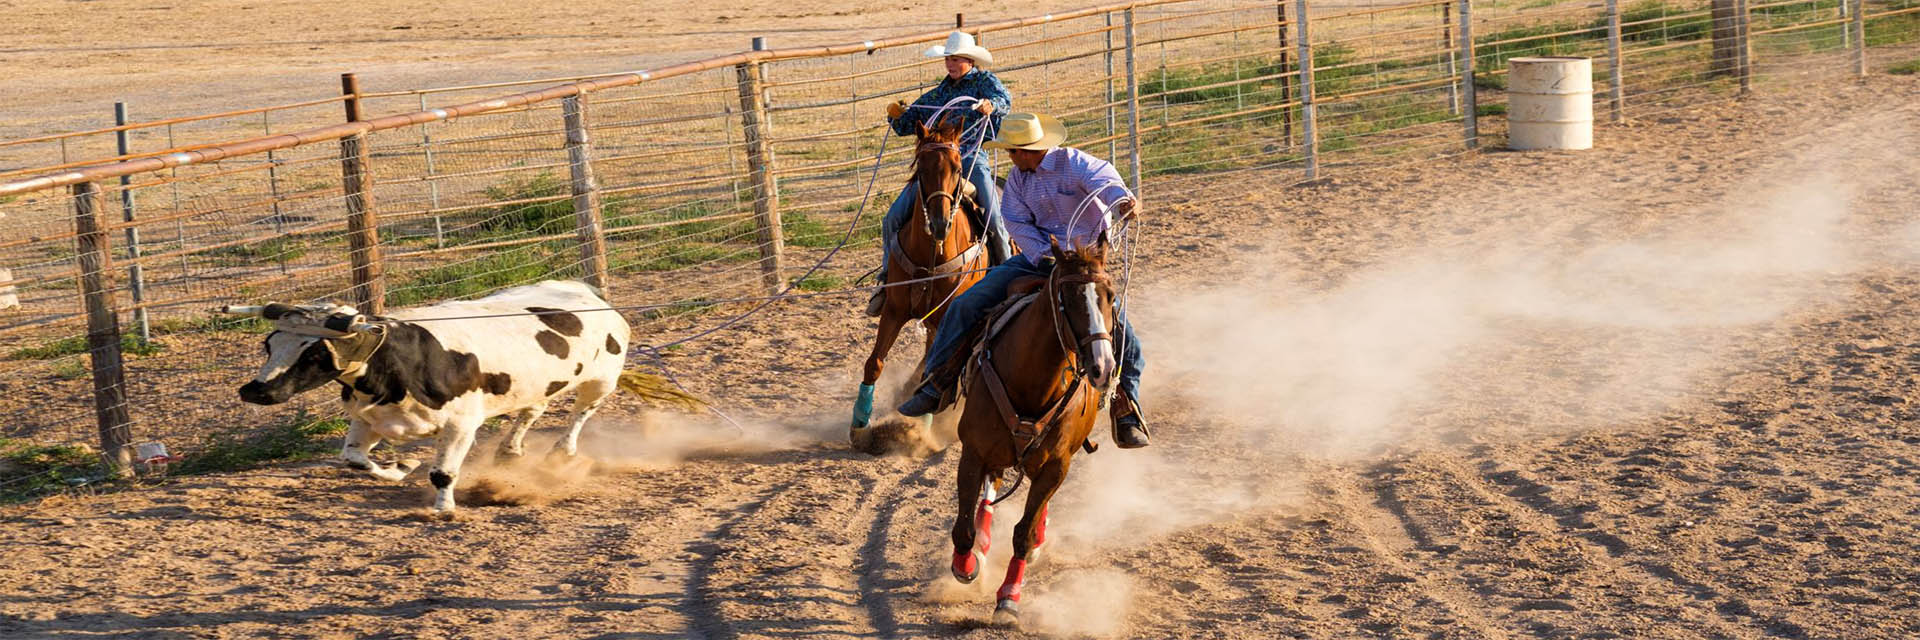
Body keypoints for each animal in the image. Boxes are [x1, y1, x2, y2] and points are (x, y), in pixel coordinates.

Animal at [226, 280, 630, 513]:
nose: (255, 390)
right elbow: (355, 460)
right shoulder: (367, 419)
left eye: (314, 353)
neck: (401, 361)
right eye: (269, 344)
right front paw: (400, 467)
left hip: (602, 380)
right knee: (532, 410)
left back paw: (562, 450)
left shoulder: (461, 425)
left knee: (580, 413)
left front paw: (443, 509)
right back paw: (509, 449)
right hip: (536, 382)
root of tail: (585, 291)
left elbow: (443, 472)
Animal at [850, 119, 992, 443]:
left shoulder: (946, 317)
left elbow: (932, 366)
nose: (940, 224)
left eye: (957, 168)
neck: (931, 255)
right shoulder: (894, 311)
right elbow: (874, 363)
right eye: (922, 168)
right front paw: (860, 424)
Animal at [944, 238, 1119, 623]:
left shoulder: (1057, 465)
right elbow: (963, 525)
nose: (1102, 367)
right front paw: (966, 566)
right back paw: (983, 544)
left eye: (1111, 295)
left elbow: (1023, 532)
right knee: (990, 489)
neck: (1032, 380)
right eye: (1067, 298)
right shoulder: (973, 451)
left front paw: (1009, 597)